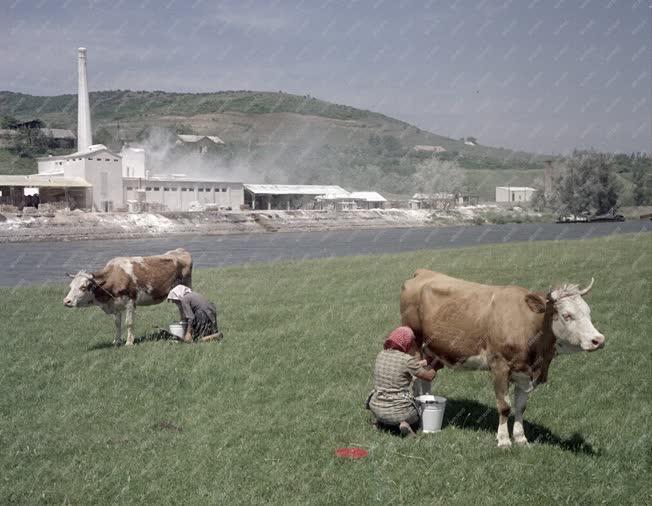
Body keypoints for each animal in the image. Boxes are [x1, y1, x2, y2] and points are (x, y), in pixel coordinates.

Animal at [62, 248, 192, 346]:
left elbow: (128, 322)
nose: (66, 301)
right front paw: (117, 341)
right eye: (70, 286)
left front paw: (129, 342)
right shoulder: (116, 305)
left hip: (186, 286)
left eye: (83, 287)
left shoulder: (130, 302)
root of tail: (180, 250)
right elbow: (117, 323)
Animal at [400, 270, 604, 448]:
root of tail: (424, 272)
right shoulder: (499, 366)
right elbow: (505, 406)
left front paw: (521, 439)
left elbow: (521, 407)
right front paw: (504, 440)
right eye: (567, 315)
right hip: (414, 345)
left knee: (425, 380)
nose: (599, 340)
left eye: (588, 312)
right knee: (415, 381)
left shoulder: (524, 372)